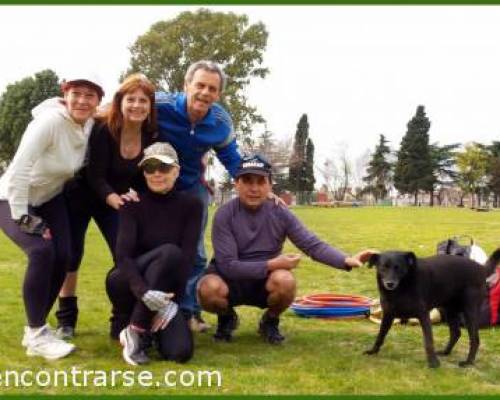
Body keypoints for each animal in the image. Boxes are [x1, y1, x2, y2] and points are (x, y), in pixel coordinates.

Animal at [366, 250, 498, 368]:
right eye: (383, 267)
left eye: (398, 268)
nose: (390, 283)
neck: (402, 288)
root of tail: (480, 268)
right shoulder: (388, 315)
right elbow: (380, 335)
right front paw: (373, 351)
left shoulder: (424, 316)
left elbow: (429, 342)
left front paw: (433, 363)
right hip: (449, 310)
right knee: (456, 333)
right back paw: (445, 352)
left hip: (469, 313)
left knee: (474, 339)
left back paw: (468, 362)